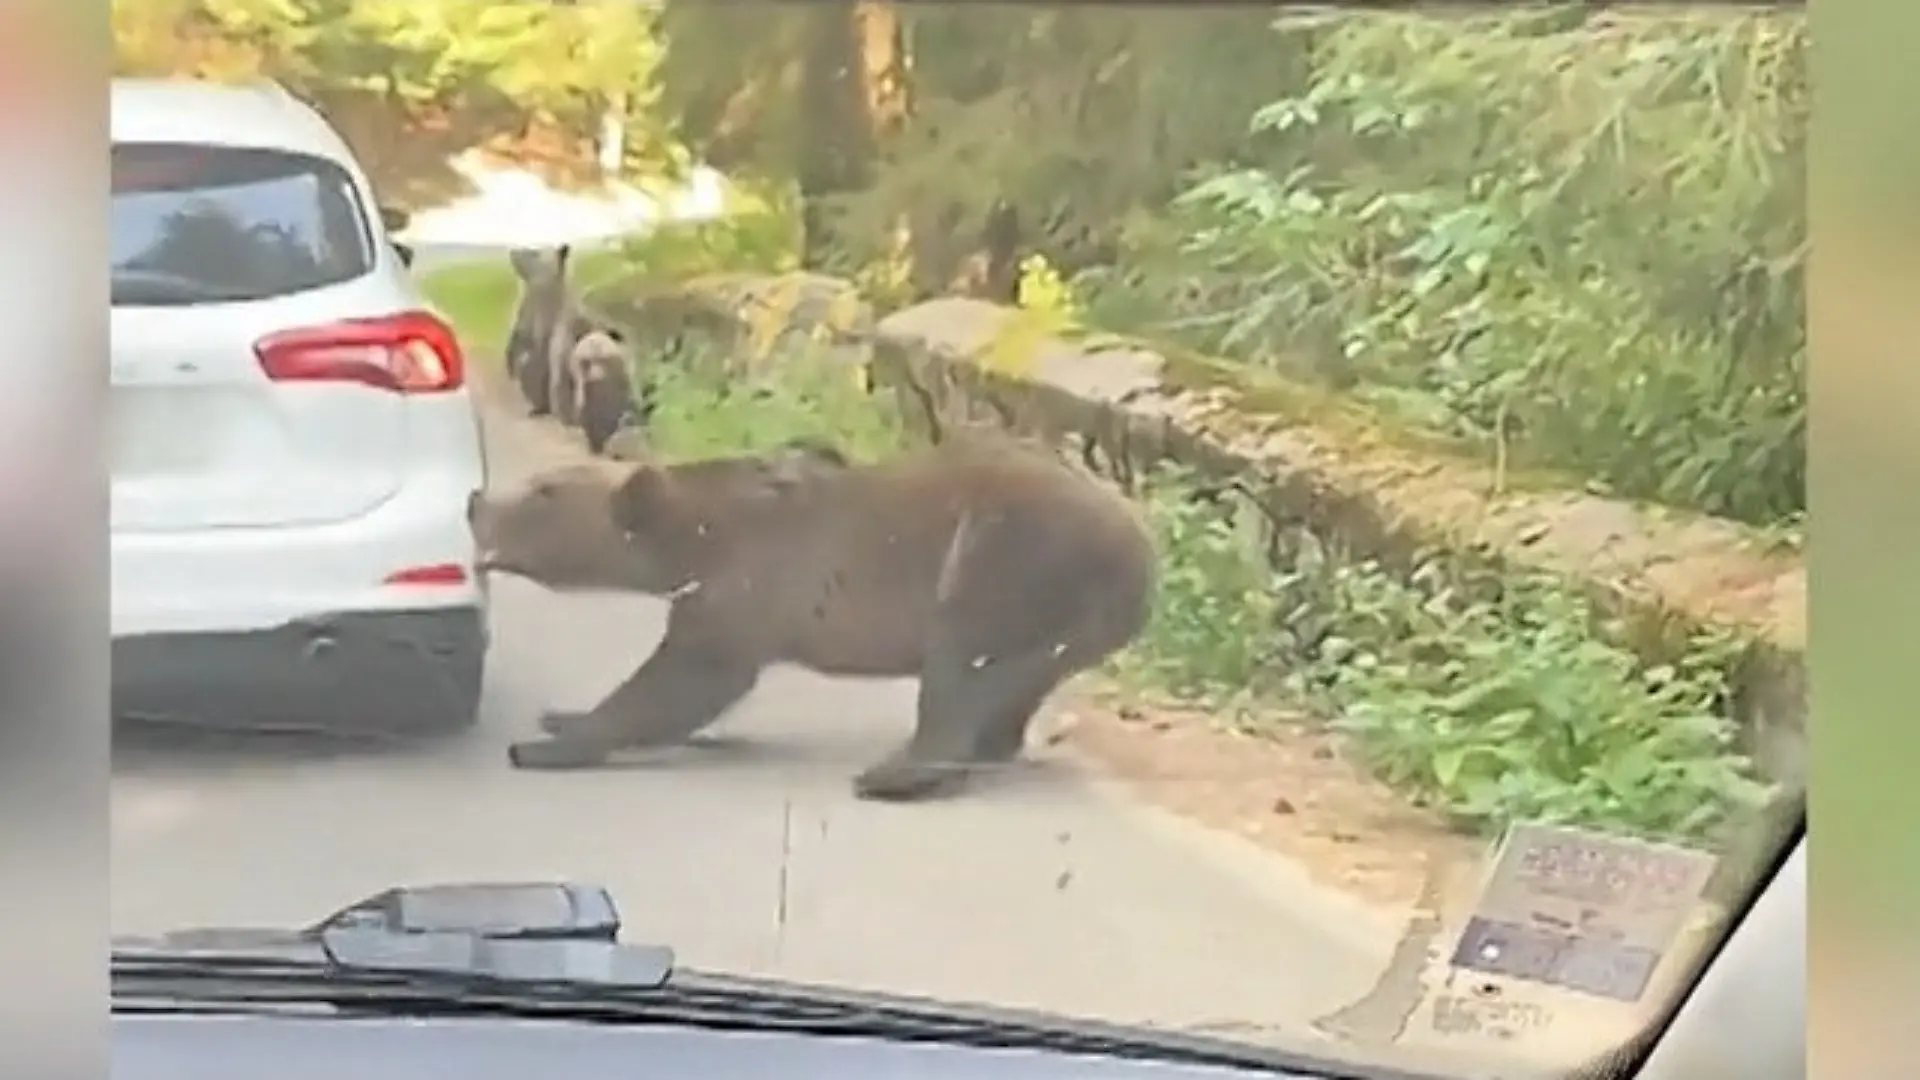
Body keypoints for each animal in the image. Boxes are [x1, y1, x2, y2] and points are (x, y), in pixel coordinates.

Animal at [466, 436, 1156, 802]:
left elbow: (685, 677)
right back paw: (987, 748)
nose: (476, 502)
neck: (692, 537)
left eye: (542, 493)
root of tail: (1140, 549)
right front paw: (562, 715)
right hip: (1062, 619)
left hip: (1009, 556)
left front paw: (548, 744)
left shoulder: (747, 586)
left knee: (960, 658)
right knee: (1012, 679)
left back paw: (895, 774)